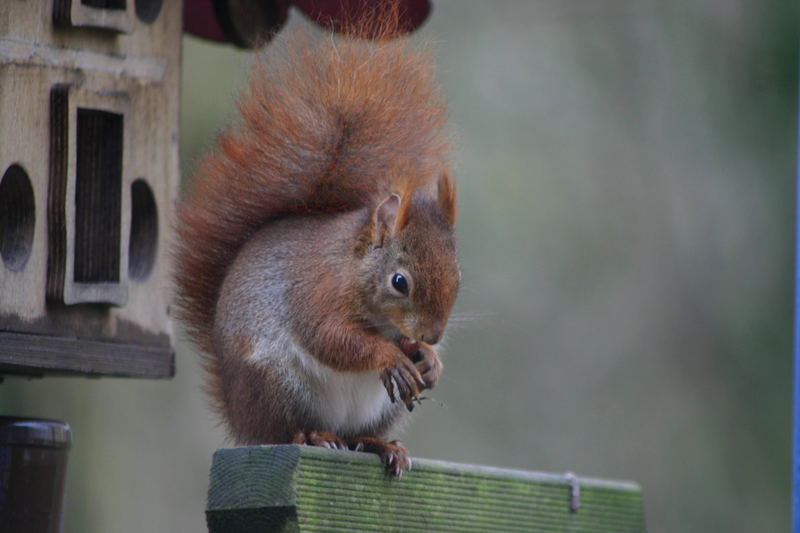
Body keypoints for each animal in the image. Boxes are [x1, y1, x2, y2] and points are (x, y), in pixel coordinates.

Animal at [177, 11, 460, 474]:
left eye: (458, 276)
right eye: (399, 282)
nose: (433, 335)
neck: (354, 266)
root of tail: (237, 413)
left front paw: (429, 360)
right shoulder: (316, 289)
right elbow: (330, 338)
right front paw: (389, 356)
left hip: (381, 409)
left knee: (359, 435)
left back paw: (381, 445)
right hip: (274, 383)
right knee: (283, 430)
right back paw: (314, 436)